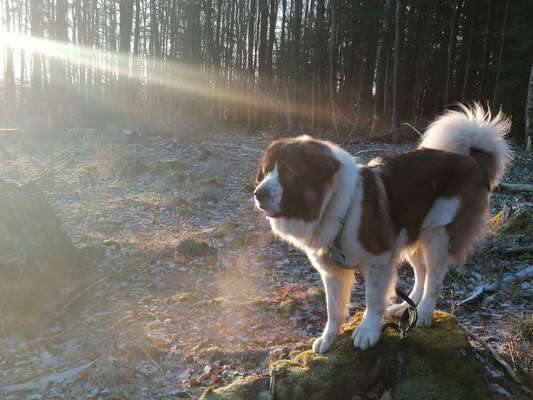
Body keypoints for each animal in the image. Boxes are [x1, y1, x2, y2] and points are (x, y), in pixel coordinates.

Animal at [254, 104, 512, 354]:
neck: (336, 205)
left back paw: (424, 312)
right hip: (410, 234)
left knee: (435, 277)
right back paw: (405, 307)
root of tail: (470, 159)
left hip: (438, 234)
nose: (258, 193)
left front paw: (368, 331)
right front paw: (328, 339)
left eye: (289, 173)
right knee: (422, 273)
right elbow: (333, 309)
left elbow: (372, 299)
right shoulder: (333, 271)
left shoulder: (379, 260)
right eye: (266, 172)